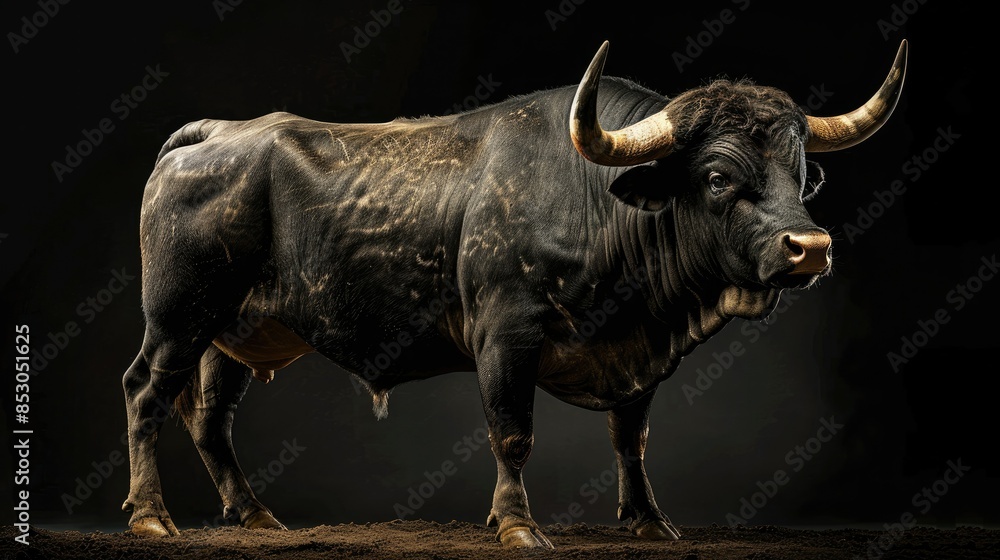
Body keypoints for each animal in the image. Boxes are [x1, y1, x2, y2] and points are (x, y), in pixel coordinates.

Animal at [121, 39, 907, 548]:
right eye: (717, 177)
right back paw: (151, 516)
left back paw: (255, 516)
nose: (809, 248)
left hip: (231, 331)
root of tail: (217, 132)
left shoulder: (641, 354)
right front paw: (518, 525)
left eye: (800, 173)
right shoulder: (506, 334)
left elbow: (631, 438)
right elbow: (512, 431)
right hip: (176, 316)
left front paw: (650, 521)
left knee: (211, 419)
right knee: (146, 393)